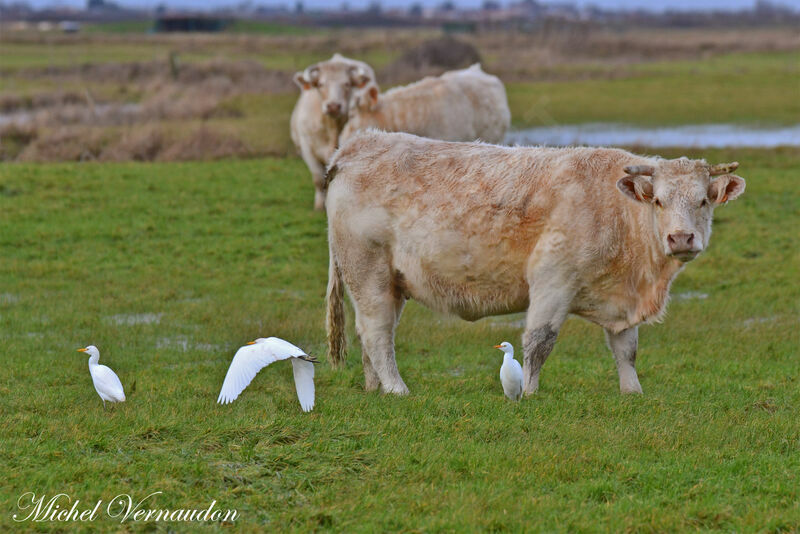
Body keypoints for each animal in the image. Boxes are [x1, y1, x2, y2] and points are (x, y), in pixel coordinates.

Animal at [290, 54, 376, 211]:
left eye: (347, 84)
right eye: (321, 84)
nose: (334, 106)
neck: (331, 128)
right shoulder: (307, 147)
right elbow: (317, 178)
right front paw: (319, 206)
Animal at [322, 130, 748, 398]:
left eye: (704, 201)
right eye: (658, 200)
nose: (681, 238)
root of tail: (357, 145)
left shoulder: (620, 300)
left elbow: (626, 348)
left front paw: (633, 392)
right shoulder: (552, 280)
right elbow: (539, 342)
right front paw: (528, 392)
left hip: (390, 283)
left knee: (370, 334)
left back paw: (374, 387)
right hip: (368, 273)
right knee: (377, 333)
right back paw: (397, 389)